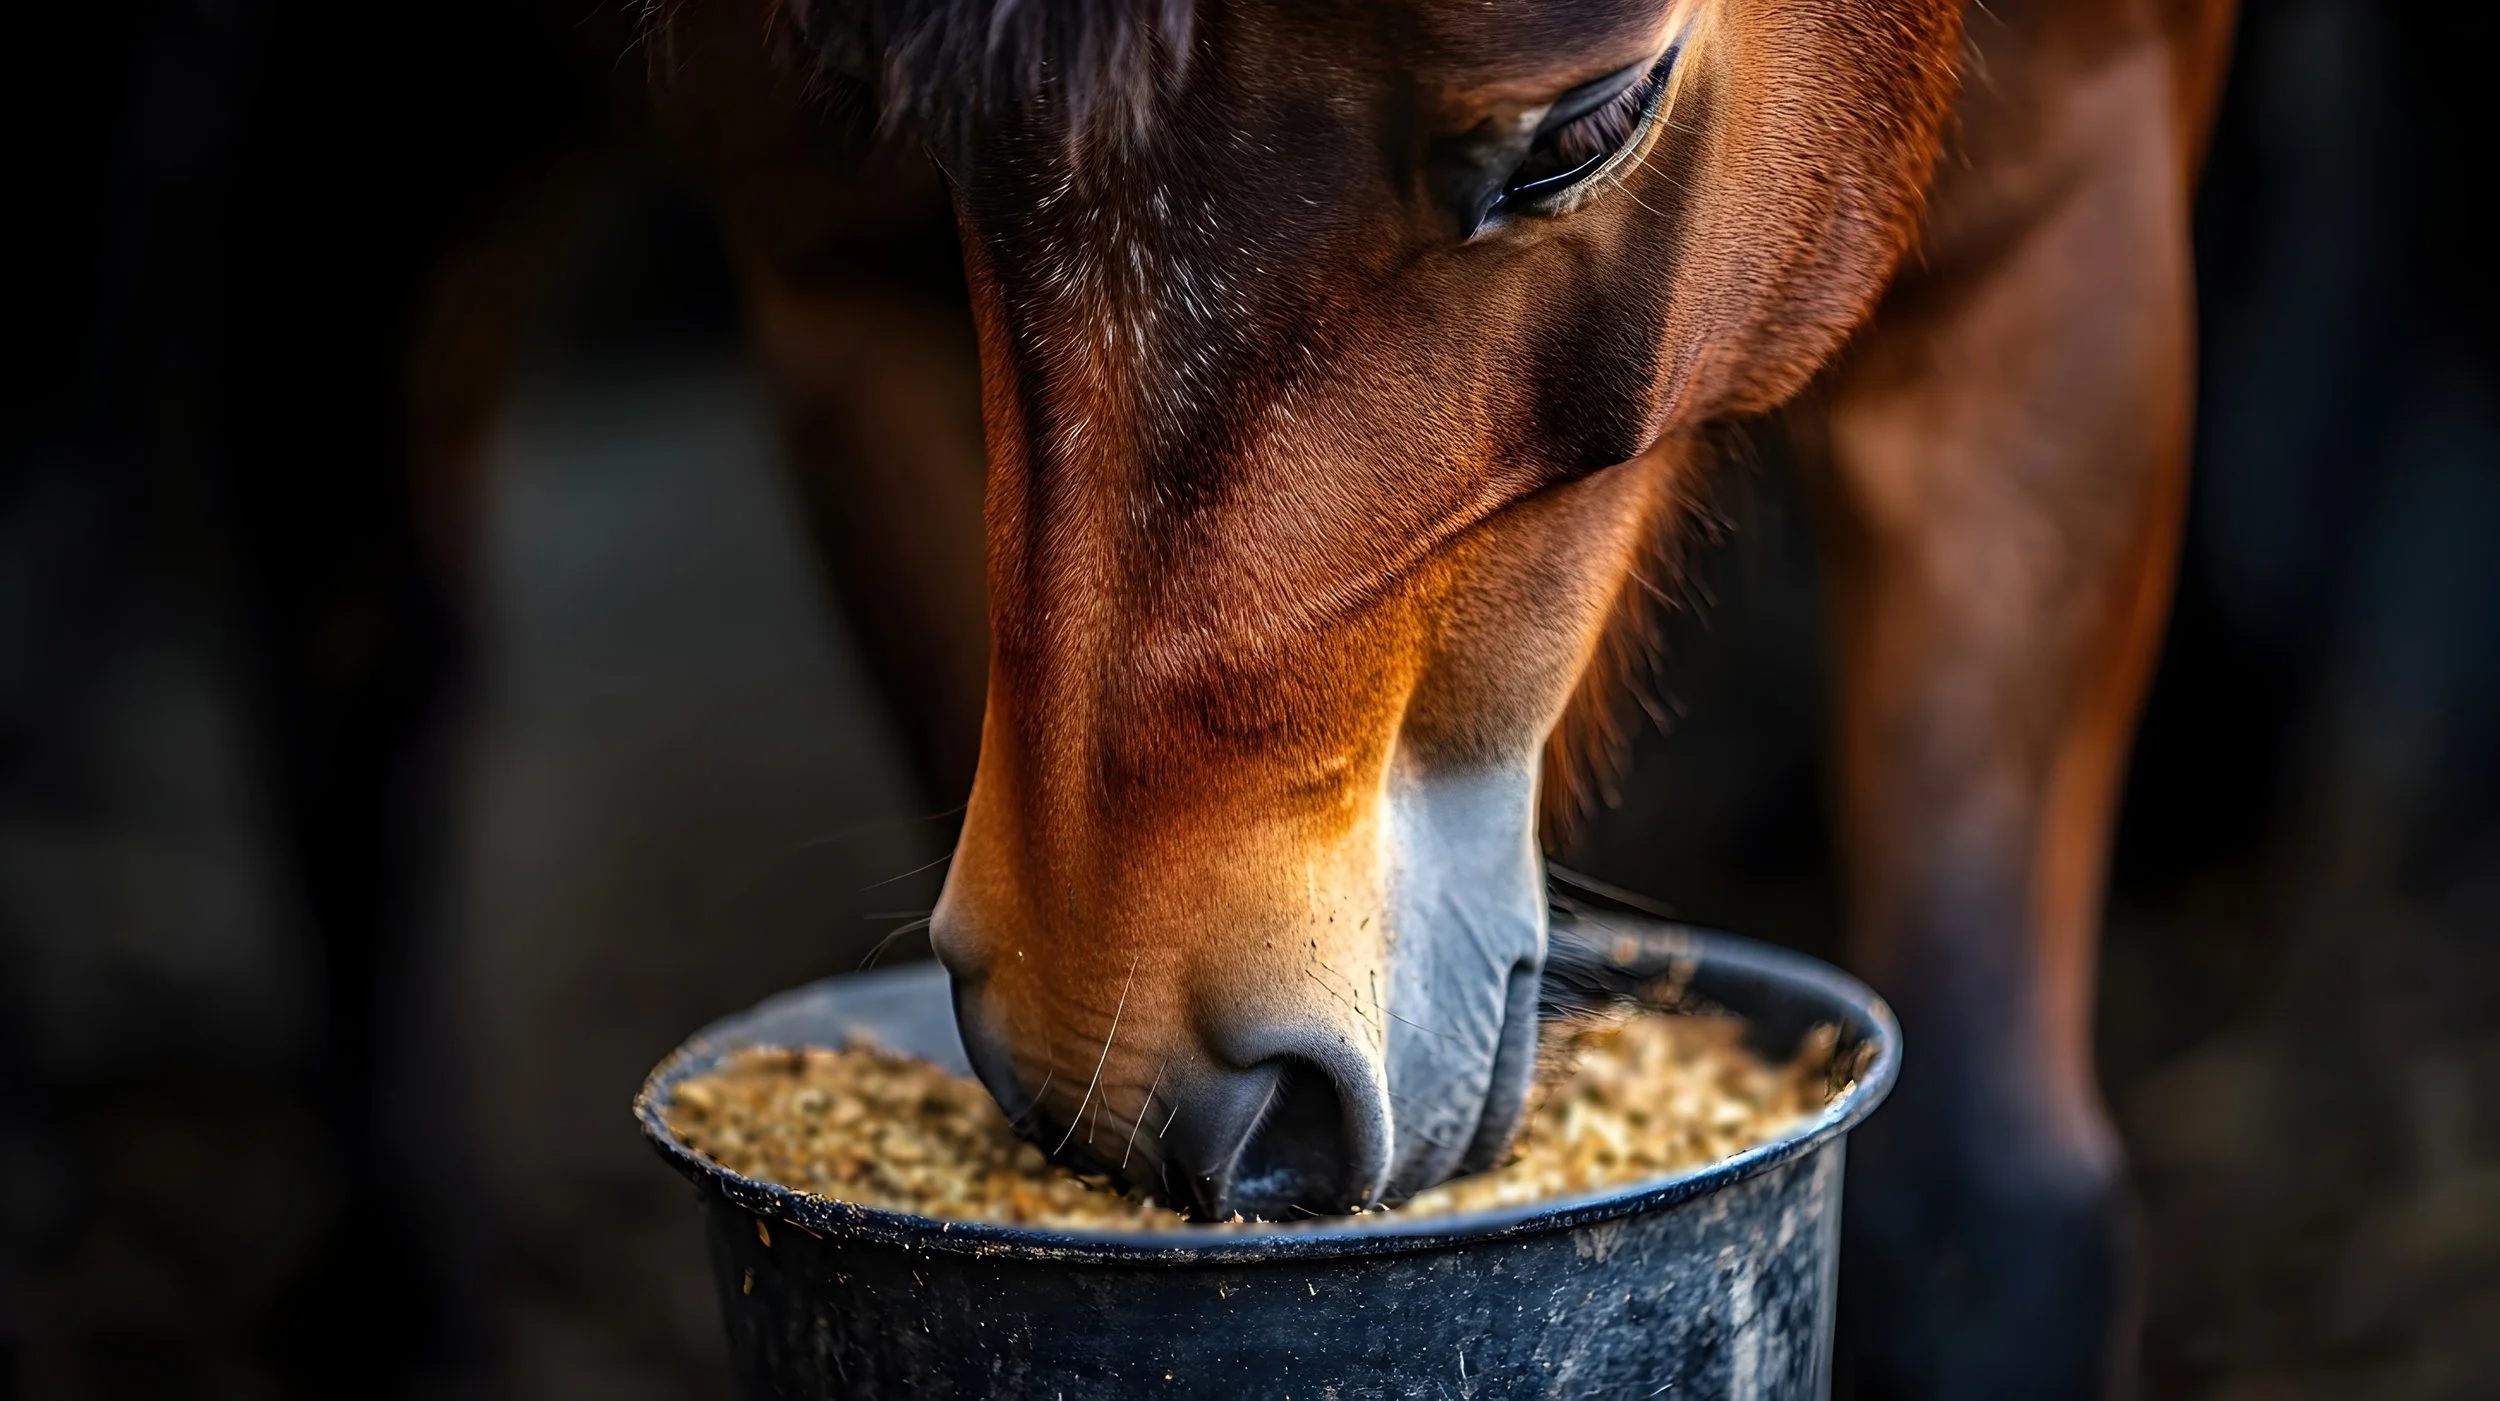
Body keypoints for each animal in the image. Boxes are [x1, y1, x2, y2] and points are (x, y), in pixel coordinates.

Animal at [66, 0, 2234, 1394]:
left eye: (1589, 122)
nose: (1191, 1089)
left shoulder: (2076, 219)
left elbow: (1992, 1226)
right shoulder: (848, 290)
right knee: (358, 649)